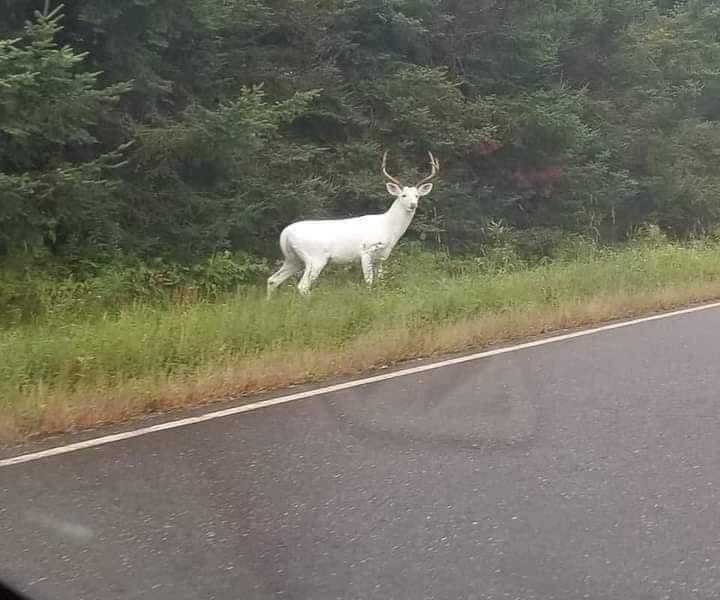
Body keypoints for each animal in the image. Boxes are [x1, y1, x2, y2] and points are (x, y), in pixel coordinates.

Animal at [268, 151, 438, 296]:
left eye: (417, 195)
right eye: (403, 195)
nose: (413, 205)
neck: (388, 228)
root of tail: (285, 234)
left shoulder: (381, 257)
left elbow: (381, 280)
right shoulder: (366, 251)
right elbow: (369, 281)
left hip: (293, 259)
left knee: (272, 280)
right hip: (314, 258)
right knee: (302, 286)